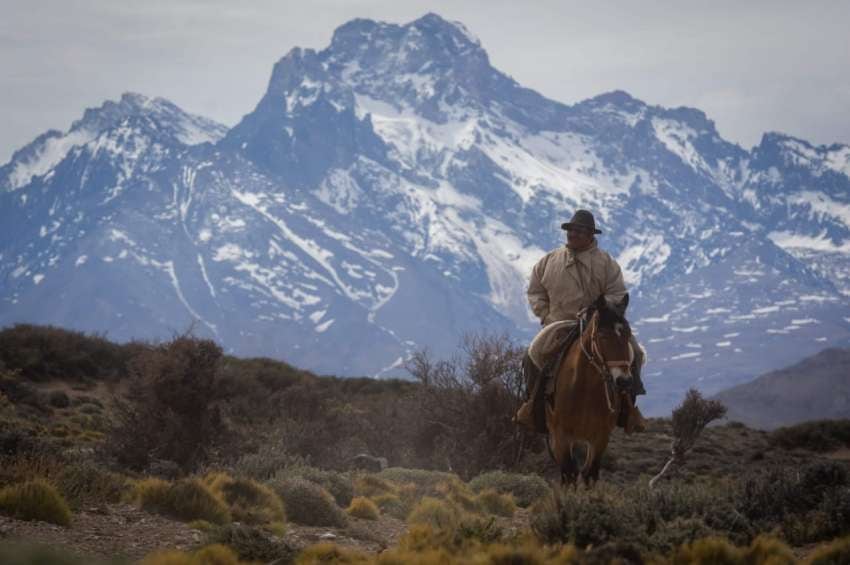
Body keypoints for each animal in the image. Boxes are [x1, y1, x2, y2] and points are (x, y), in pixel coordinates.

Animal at [548, 294, 632, 482]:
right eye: (603, 336)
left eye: (628, 335)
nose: (624, 381)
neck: (584, 389)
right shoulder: (562, 436)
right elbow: (569, 473)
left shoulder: (600, 438)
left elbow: (590, 473)